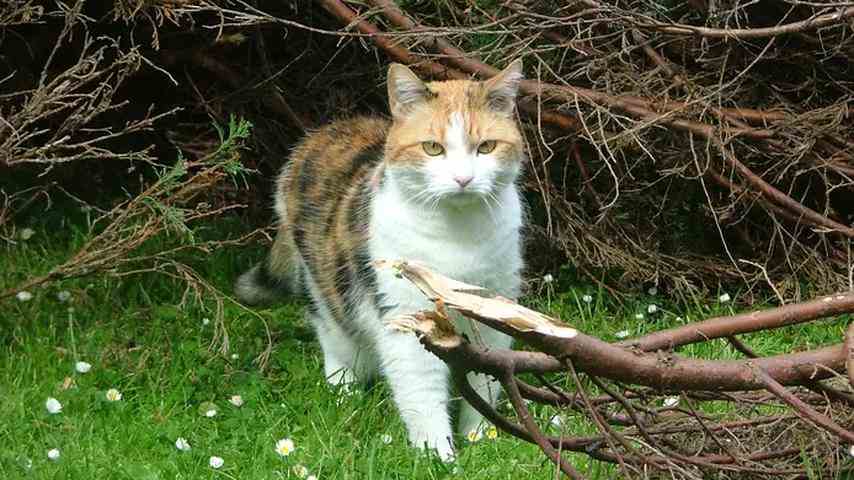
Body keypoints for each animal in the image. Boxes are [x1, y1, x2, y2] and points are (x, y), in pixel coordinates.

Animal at [236, 61, 528, 462]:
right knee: (333, 333)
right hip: (325, 287)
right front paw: (437, 455)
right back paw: (344, 387)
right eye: (433, 148)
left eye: (486, 147)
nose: (463, 179)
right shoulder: (405, 314)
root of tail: (324, 132)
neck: (459, 238)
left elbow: (487, 378)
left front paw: (481, 437)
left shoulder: (495, 307)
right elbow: (421, 390)